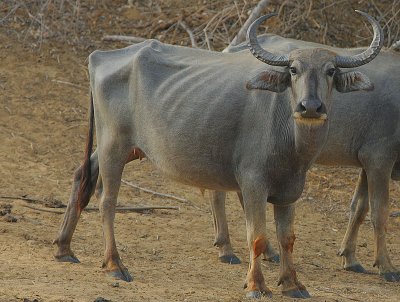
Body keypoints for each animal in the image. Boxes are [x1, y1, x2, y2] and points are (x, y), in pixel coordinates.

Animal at [53, 11, 382, 298]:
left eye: (331, 71)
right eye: (293, 70)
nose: (310, 107)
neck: (289, 135)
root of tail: (99, 56)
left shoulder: (290, 189)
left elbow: (287, 239)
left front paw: (292, 285)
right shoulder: (253, 183)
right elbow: (258, 237)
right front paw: (256, 286)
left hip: (124, 148)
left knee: (83, 175)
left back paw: (64, 248)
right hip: (113, 146)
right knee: (106, 201)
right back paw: (114, 265)